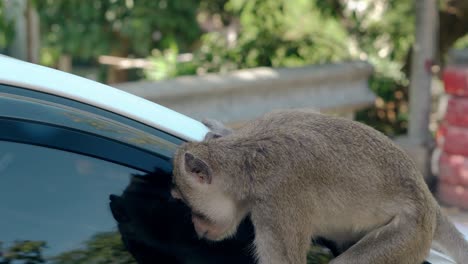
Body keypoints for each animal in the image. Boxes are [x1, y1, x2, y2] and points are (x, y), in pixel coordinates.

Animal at [171, 109, 468, 264]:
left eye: (190, 206)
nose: (197, 225)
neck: (249, 162)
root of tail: (427, 197)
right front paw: (222, 131)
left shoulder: (277, 205)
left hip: (410, 233)